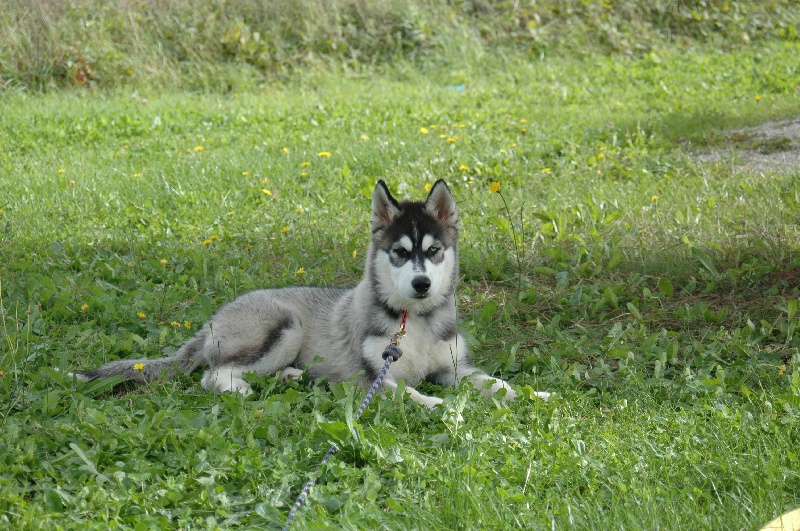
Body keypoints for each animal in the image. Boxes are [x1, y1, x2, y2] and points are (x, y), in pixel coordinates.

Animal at [73, 181, 552, 410]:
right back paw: (240, 390)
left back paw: (292, 377)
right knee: (213, 375)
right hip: (284, 326)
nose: (422, 285)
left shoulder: (454, 368)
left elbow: (496, 383)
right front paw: (434, 403)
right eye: (399, 253)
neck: (412, 321)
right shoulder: (369, 377)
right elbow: (402, 391)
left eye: (433, 251)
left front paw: (536, 395)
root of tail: (212, 321)